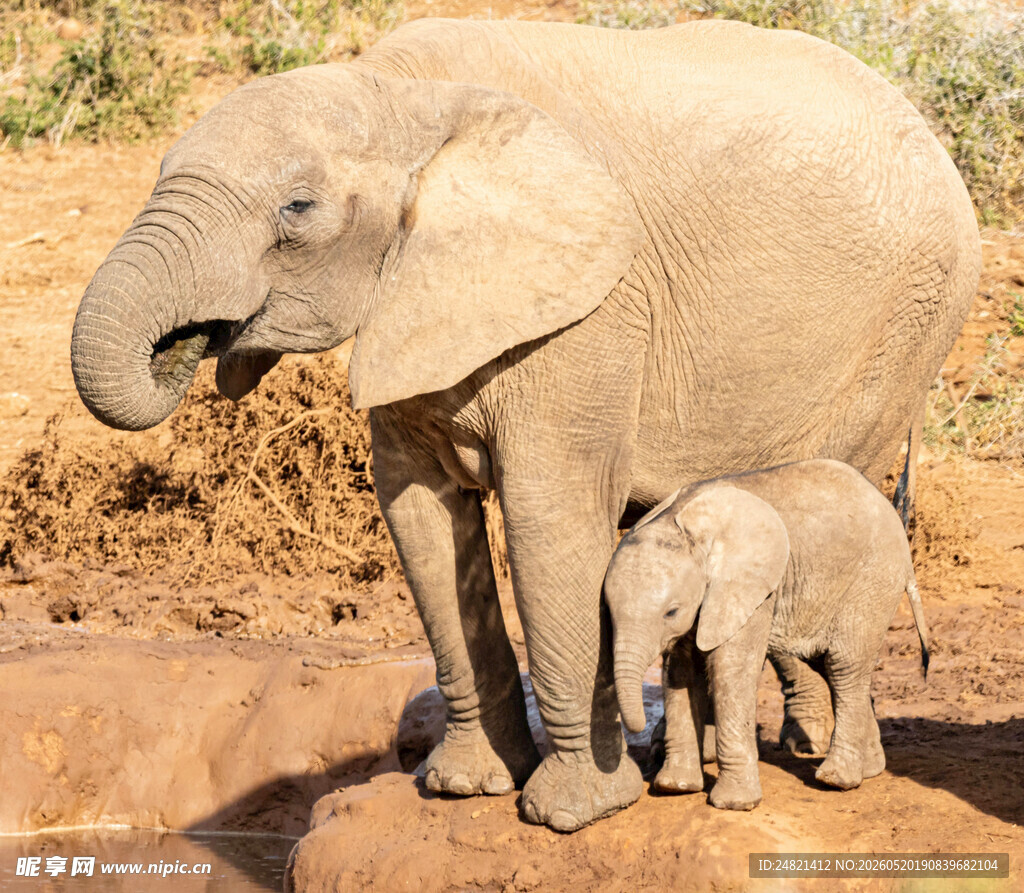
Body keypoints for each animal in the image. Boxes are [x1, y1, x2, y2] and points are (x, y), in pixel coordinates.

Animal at [603, 459, 930, 810]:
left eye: (671, 611)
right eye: (608, 612)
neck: (683, 525)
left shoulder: (751, 589)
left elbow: (731, 667)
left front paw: (734, 804)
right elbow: (681, 671)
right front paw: (676, 787)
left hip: (873, 581)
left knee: (845, 665)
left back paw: (836, 780)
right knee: (827, 665)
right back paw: (869, 769)